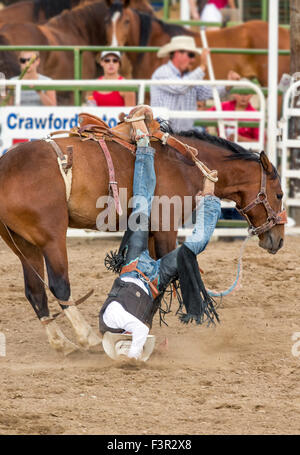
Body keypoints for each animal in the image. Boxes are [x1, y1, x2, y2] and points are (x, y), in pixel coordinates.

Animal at [0, 120, 284, 352]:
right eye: (280, 194)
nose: (278, 240)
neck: (185, 163)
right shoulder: (166, 226)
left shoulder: (149, 231)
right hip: (51, 237)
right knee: (59, 285)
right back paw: (87, 338)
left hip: (23, 243)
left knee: (34, 290)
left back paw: (61, 343)